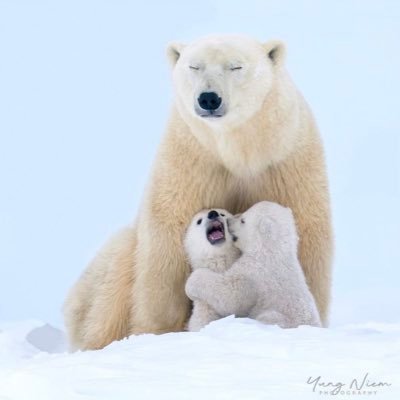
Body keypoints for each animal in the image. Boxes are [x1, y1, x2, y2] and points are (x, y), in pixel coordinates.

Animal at [64, 35, 332, 350]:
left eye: (235, 66)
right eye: (194, 66)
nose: (208, 98)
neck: (237, 149)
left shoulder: (286, 160)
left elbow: (305, 231)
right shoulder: (191, 157)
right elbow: (168, 238)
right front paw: (161, 330)